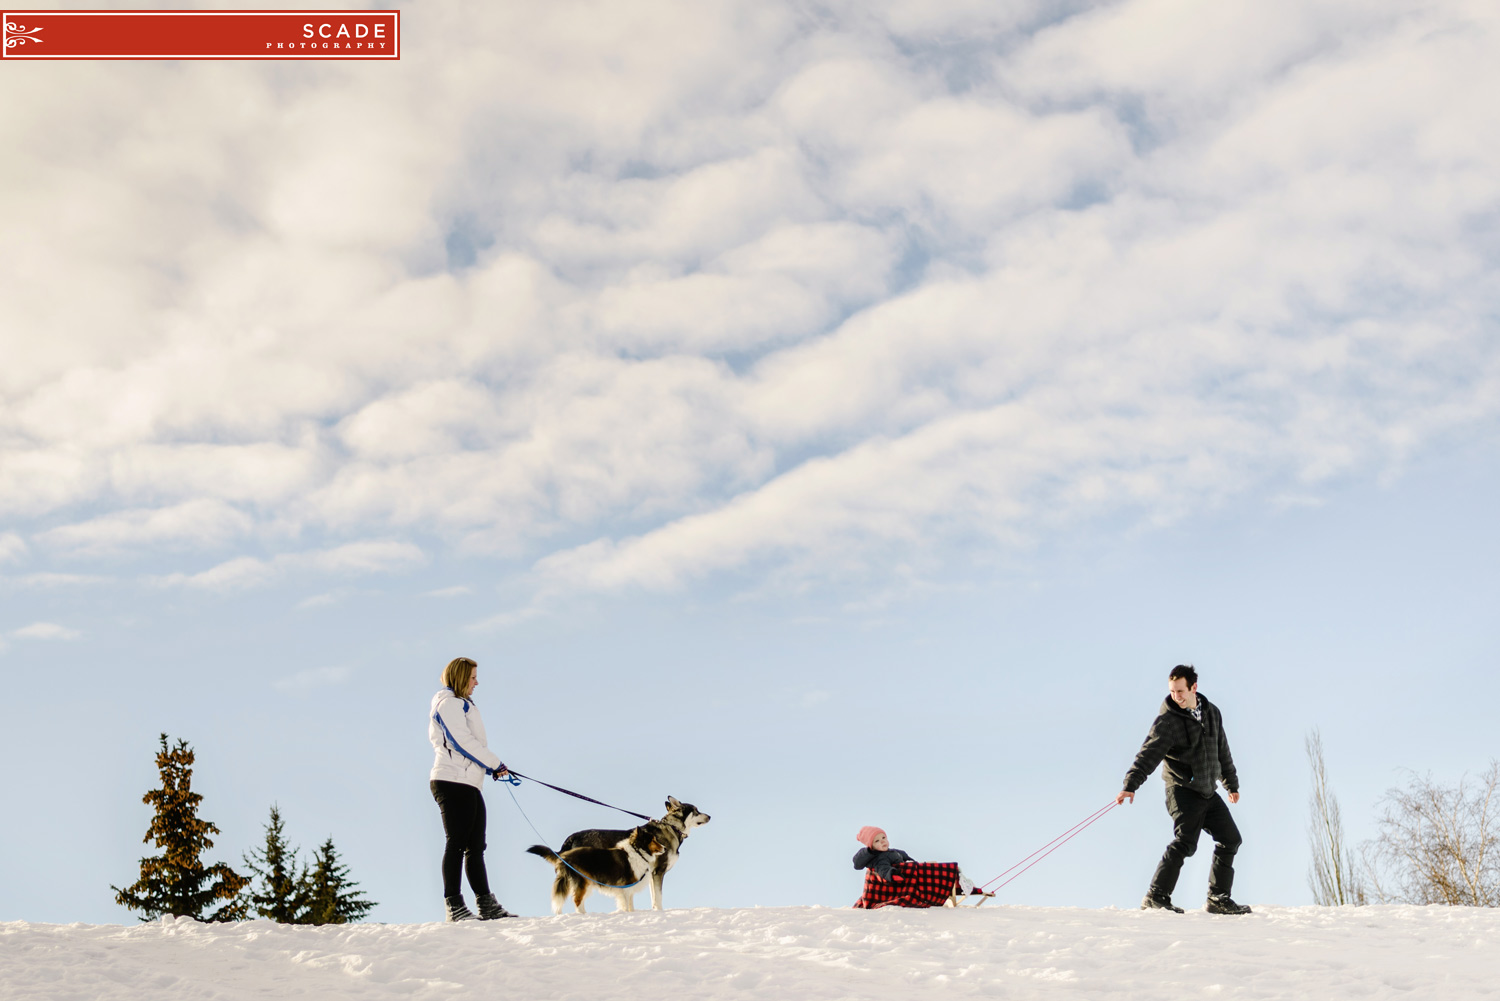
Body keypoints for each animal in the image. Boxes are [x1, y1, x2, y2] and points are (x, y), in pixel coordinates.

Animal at [531, 822, 666, 918]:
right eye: (653, 840)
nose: (664, 848)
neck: (637, 851)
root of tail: (564, 856)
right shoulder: (626, 886)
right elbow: (626, 904)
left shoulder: (629, 887)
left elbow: (630, 905)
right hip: (581, 881)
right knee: (577, 900)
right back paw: (583, 916)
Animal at [561, 792, 711, 912]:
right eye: (696, 810)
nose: (709, 816)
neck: (673, 828)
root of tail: (571, 837)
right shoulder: (658, 871)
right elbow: (659, 897)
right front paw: (661, 912)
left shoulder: (650, 874)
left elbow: (653, 897)